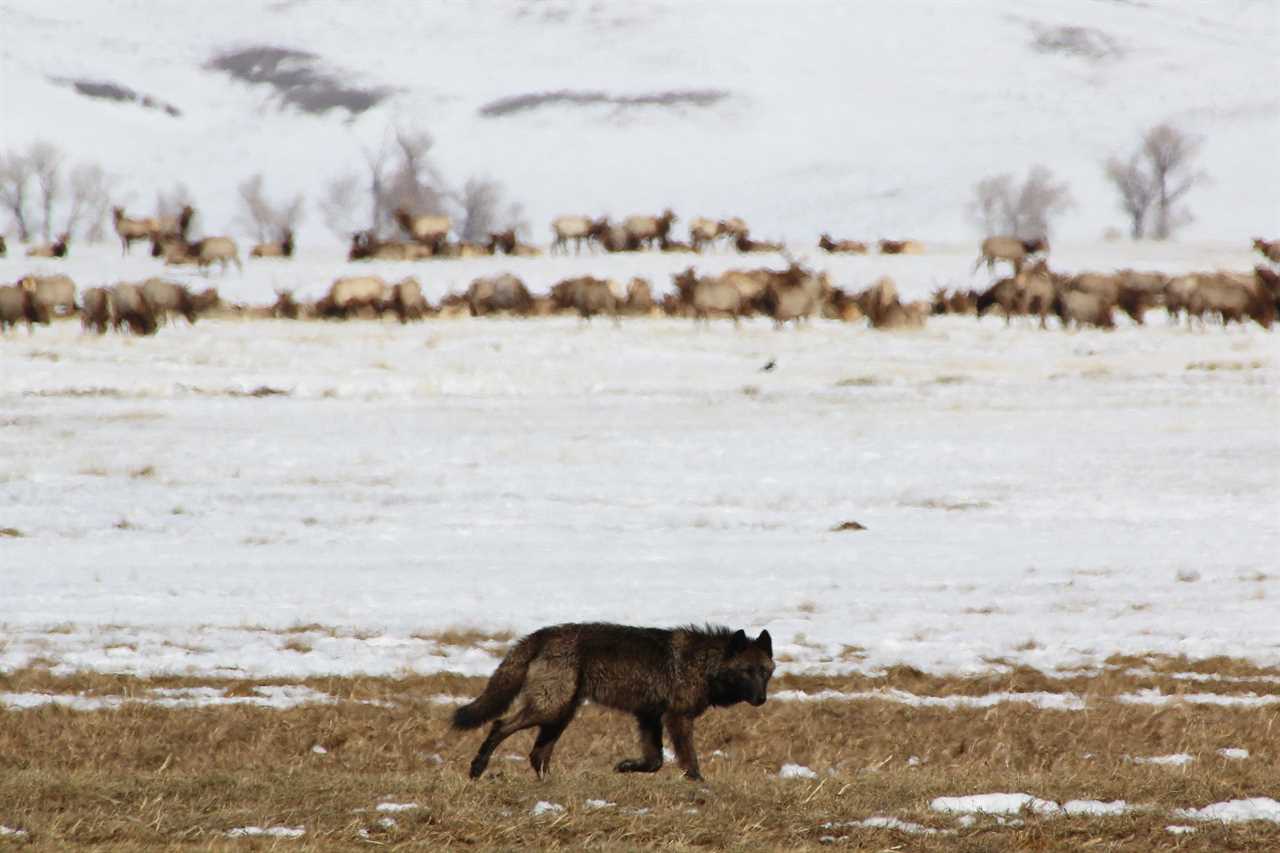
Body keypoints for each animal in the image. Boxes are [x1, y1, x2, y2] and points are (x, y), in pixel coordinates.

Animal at [453, 617, 768, 778]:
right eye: (746, 672)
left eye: (765, 673)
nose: (762, 699)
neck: (705, 665)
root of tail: (541, 634)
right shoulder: (676, 718)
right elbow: (688, 760)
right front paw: (699, 785)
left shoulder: (649, 716)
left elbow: (655, 761)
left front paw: (626, 767)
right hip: (550, 709)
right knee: (500, 726)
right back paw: (477, 768)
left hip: (561, 714)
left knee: (537, 755)